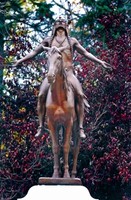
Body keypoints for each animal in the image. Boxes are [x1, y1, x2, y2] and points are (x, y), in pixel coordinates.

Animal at [42, 45, 80, 178]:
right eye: (47, 57)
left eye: (59, 57)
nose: (50, 76)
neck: (59, 98)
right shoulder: (52, 123)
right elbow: (56, 147)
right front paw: (55, 174)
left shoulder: (69, 122)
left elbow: (66, 146)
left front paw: (67, 175)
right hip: (59, 125)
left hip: (75, 125)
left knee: (76, 148)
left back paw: (73, 175)